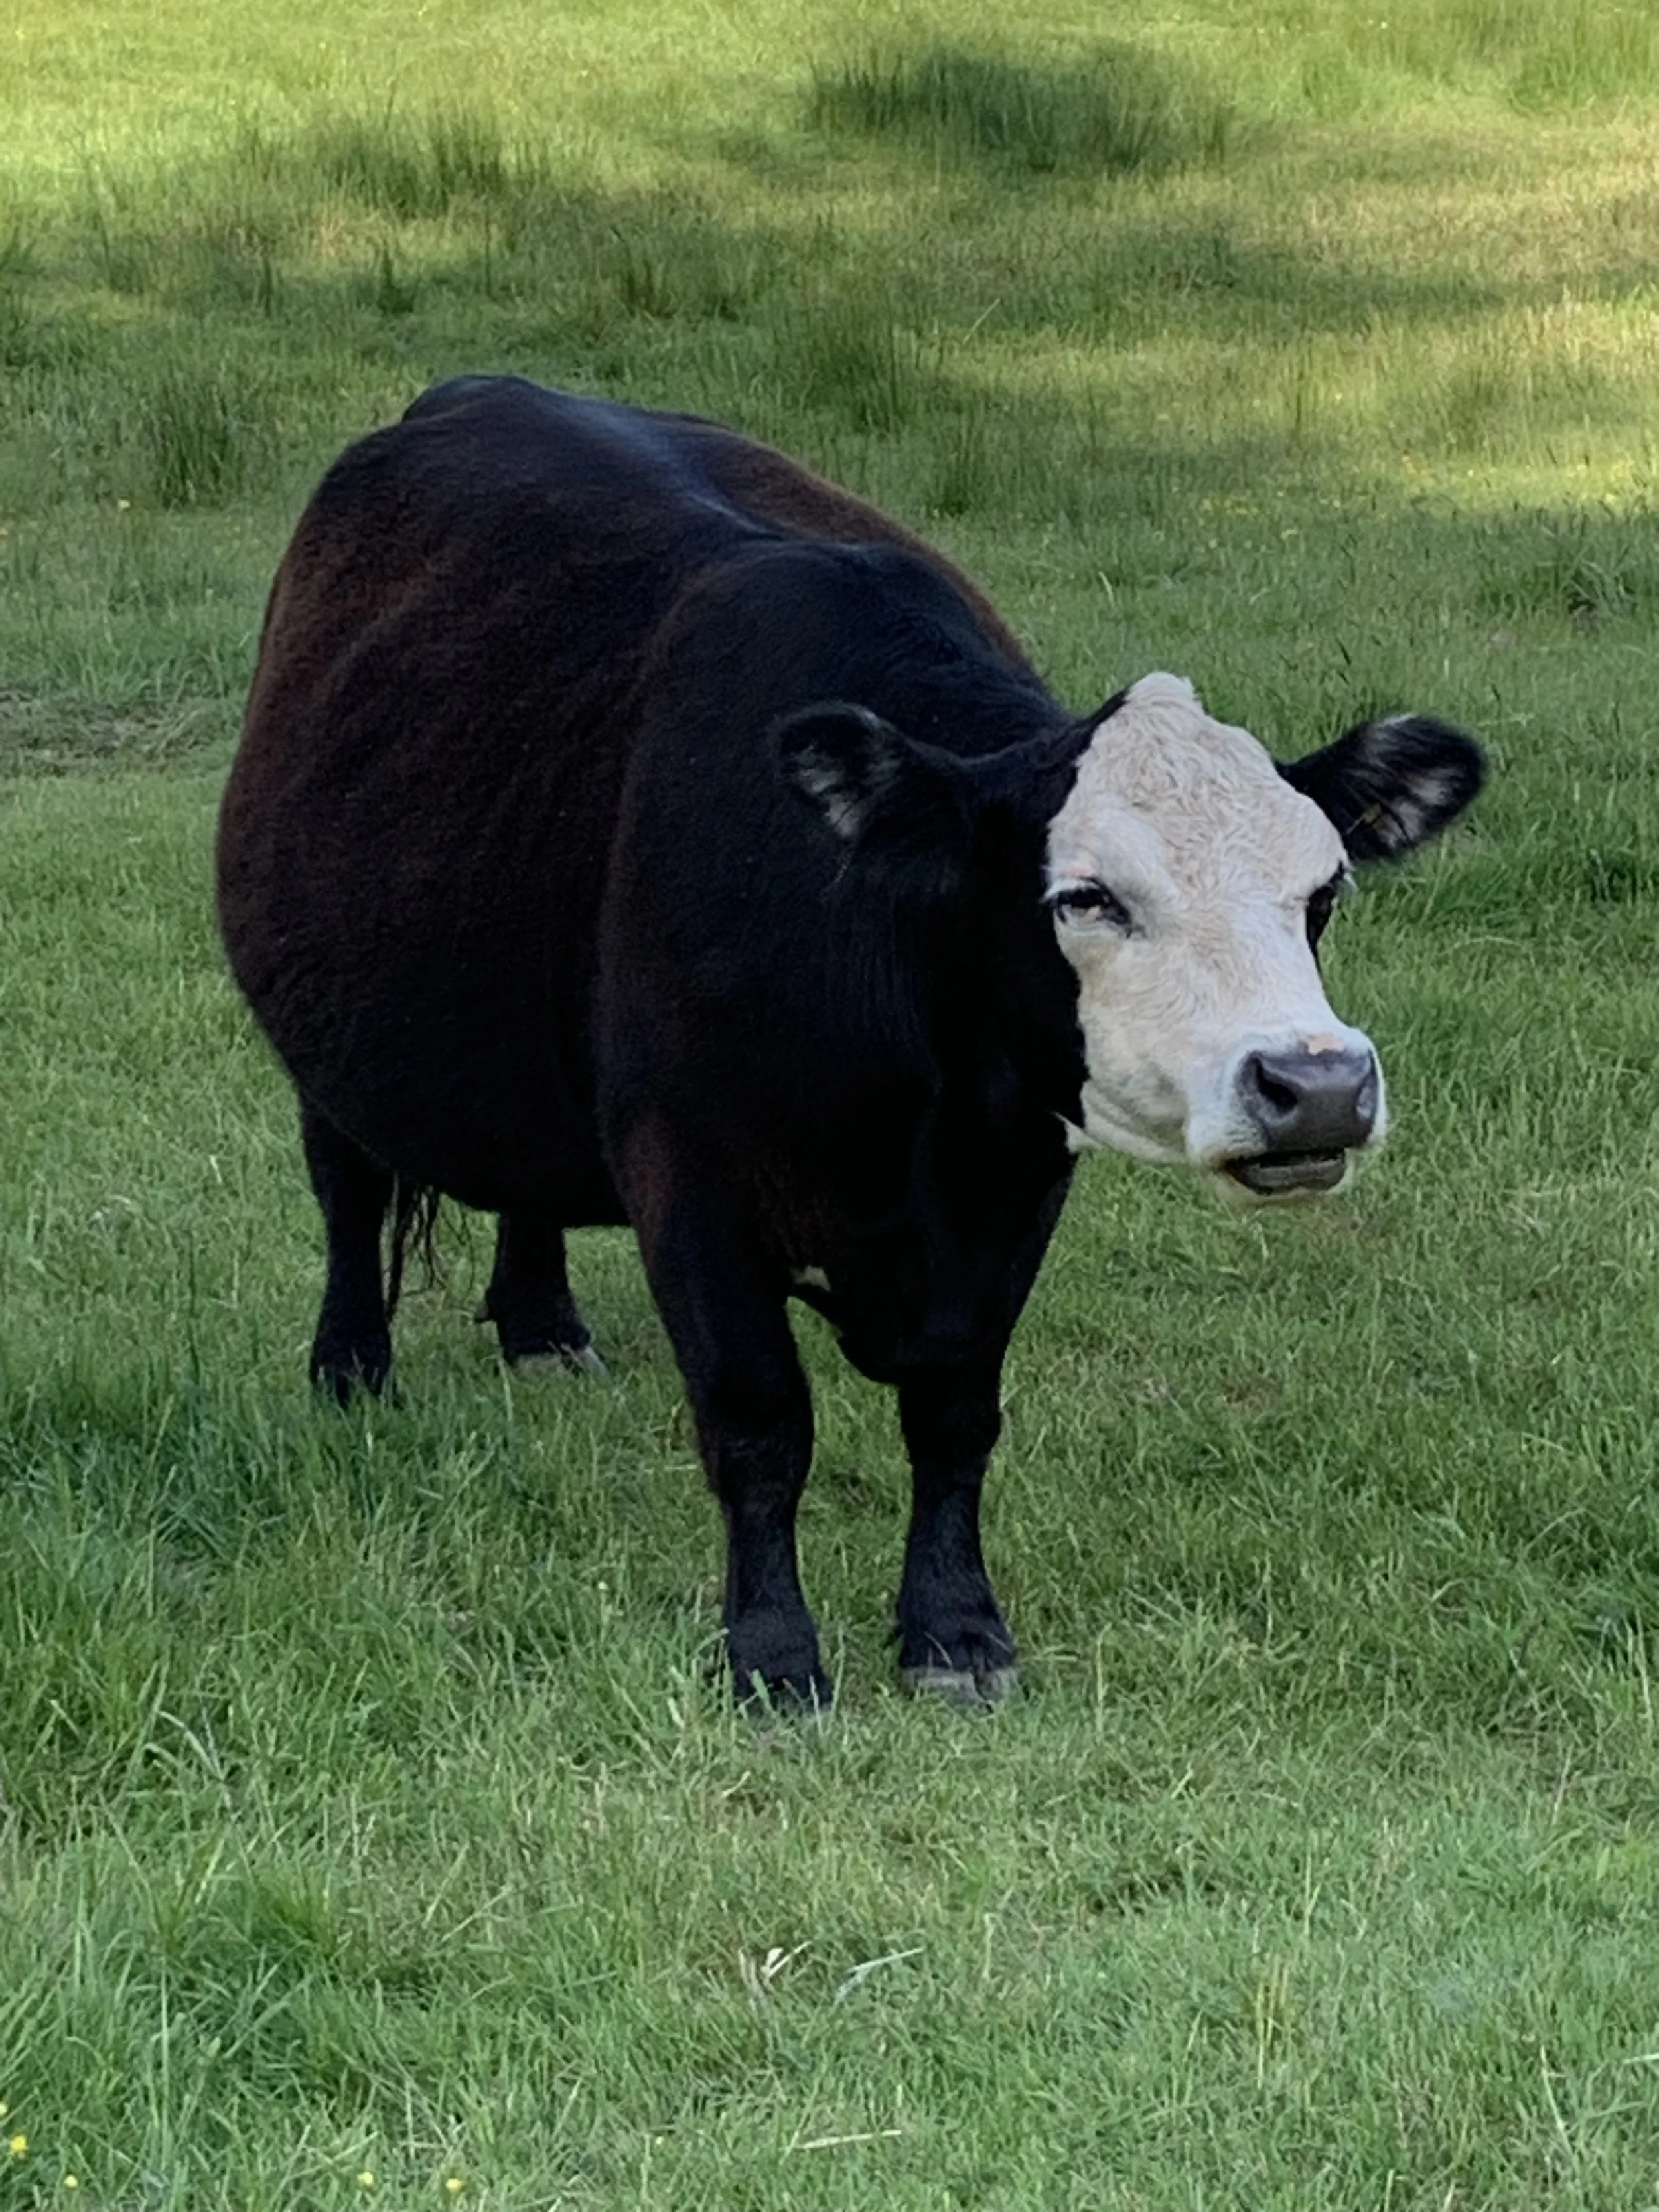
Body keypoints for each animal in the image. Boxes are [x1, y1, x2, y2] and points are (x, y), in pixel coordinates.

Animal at [216, 374, 1483, 1709]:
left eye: (1324, 888)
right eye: (1087, 897)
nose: (1318, 1086)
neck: (912, 1142)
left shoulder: (1014, 1190)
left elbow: (957, 1415)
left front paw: (955, 1630)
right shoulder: (693, 1182)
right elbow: (761, 1424)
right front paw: (772, 1654)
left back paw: (543, 1328)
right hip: (324, 1035)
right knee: (349, 1192)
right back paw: (351, 1370)